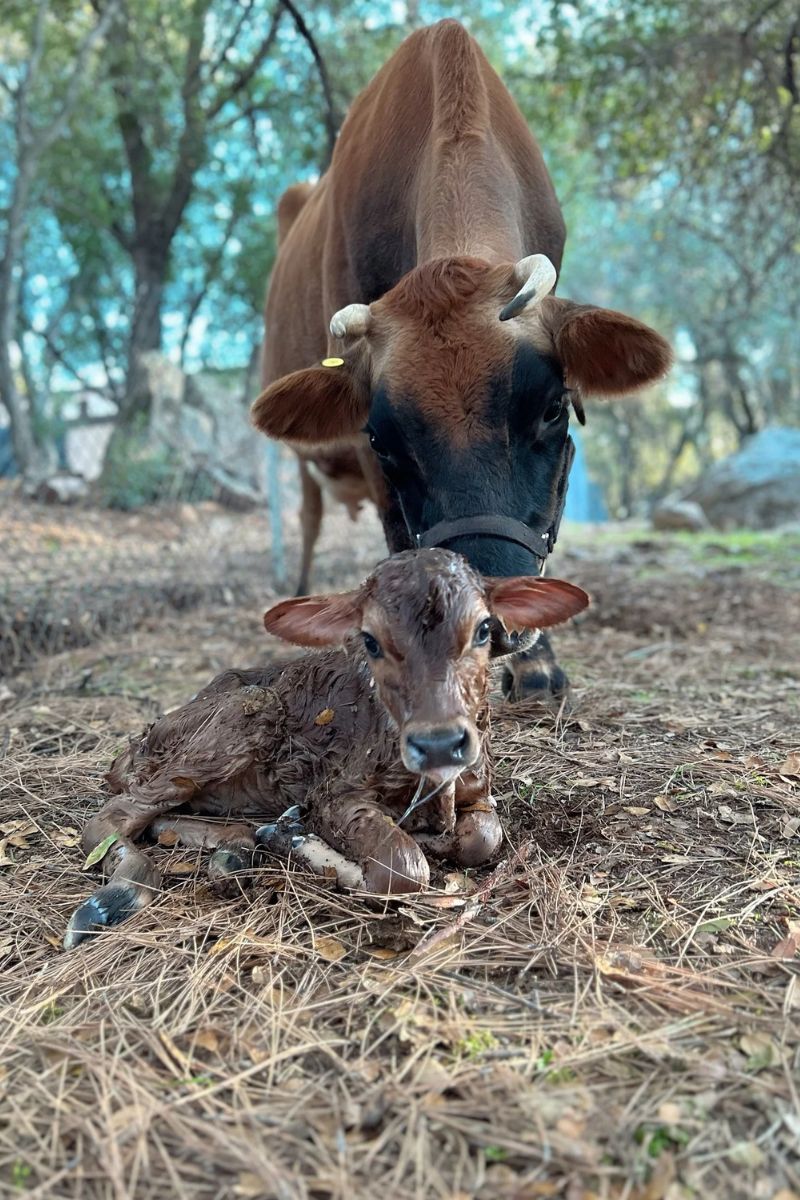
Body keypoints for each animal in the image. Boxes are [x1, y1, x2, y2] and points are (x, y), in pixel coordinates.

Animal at [63, 549, 588, 949]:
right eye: (370, 641)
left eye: (482, 630)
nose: (438, 743)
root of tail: (132, 747)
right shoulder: (335, 791)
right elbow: (401, 868)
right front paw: (317, 848)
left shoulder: (478, 789)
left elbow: (482, 838)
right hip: (237, 718)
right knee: (113, 816)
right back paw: (114, 899)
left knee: (168, 818)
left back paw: (236, 851)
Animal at [252, 20, 671, 703]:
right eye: (381, 437)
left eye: (553, 408)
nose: (496, 618)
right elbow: (399, 537)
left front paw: (539, 665)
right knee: (309, 516)